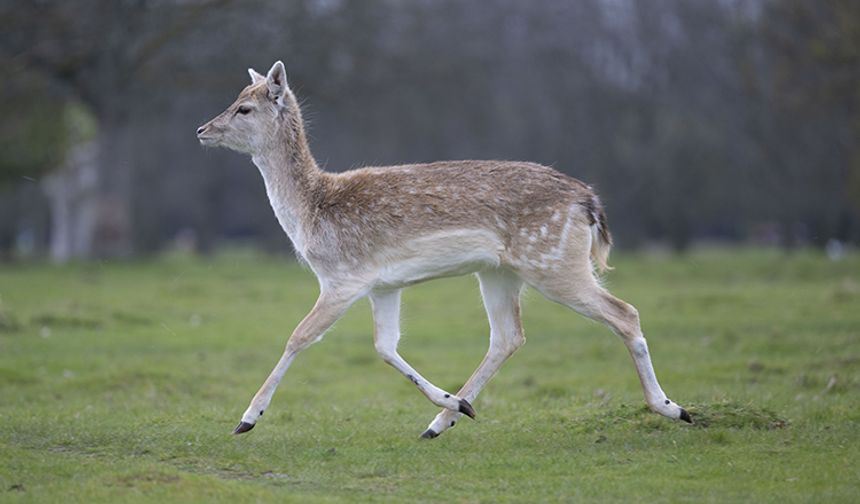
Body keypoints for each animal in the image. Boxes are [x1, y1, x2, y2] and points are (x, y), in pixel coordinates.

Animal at [197, 61, 692, 440]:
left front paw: (247, 419)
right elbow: (385, 346)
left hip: (554, 261)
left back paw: (673, 408)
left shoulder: (344, 277)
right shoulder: (383, 285)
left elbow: (299, 336)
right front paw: (454, 404)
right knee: (509, 336)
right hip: (499, 272)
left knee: (624, 312)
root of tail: (589, 202)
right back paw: (443, 421)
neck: (311, 212)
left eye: (244, 106)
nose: (202, 129)